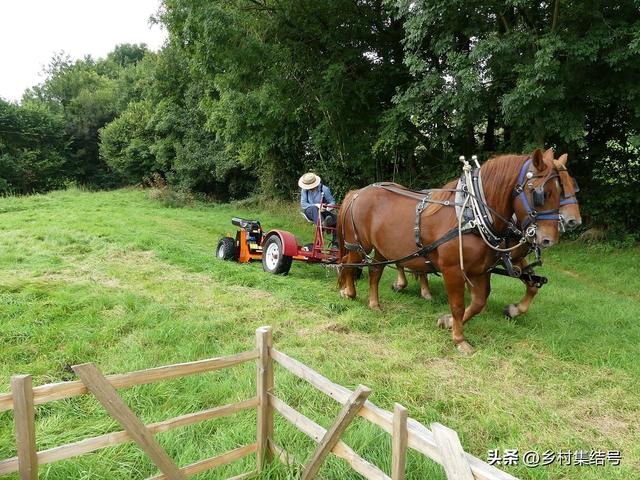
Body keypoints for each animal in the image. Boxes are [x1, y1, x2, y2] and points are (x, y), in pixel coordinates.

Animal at [392, 149, 584, 318]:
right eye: (544, 193)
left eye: (571, 186)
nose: (574, 221)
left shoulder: (512, 258)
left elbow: (532, 285)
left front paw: (513, 310)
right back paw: (404, 284)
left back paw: (423, 291)